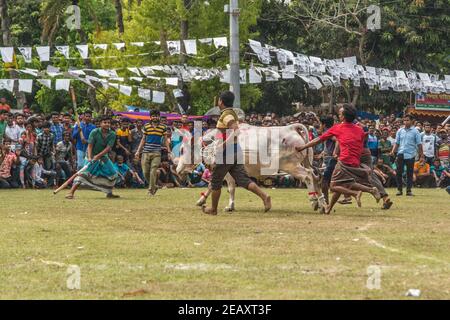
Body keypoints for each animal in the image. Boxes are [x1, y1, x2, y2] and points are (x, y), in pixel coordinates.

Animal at [174, 124, 326, 214]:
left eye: (181, 150)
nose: (177, 169)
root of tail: (291, 128)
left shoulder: (226, 171)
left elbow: (226, 187)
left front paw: (229, 206)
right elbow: (215, 186)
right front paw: (202, 201)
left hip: (290, 165)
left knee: (308, 176)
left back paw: (314, 201)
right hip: (302, 163)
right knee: (314, 176)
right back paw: (321, 202)